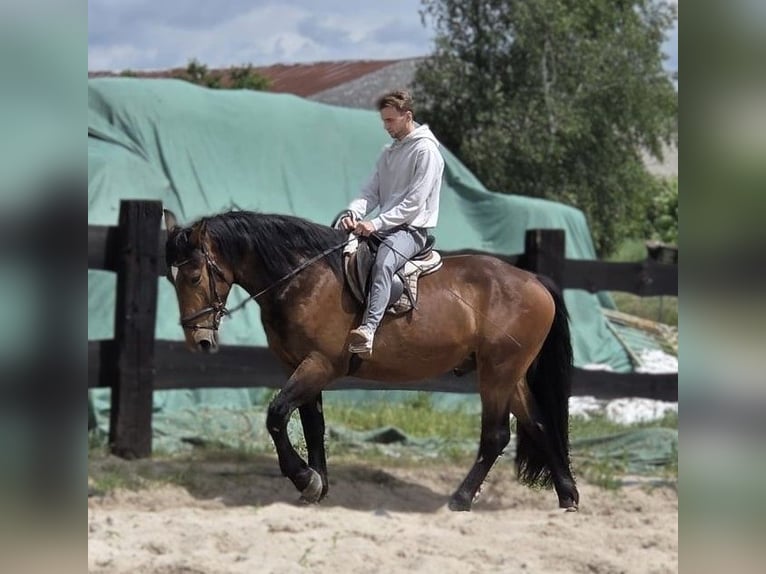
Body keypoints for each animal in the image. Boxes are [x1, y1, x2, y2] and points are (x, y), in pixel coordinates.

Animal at [163, 209, 579, 512]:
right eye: (171, 279)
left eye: (195, 275)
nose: (199, 340)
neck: (302, 279)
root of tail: (535, 281)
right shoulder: (302, 366)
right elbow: (314, 426)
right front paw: (318, 485)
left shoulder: (318, 365)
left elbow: (276, 416)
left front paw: (304, 478)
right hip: (510, 375)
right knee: (540, 424)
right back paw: (567, 496)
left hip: (497, 373)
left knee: (496, 436)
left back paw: (460, 499)